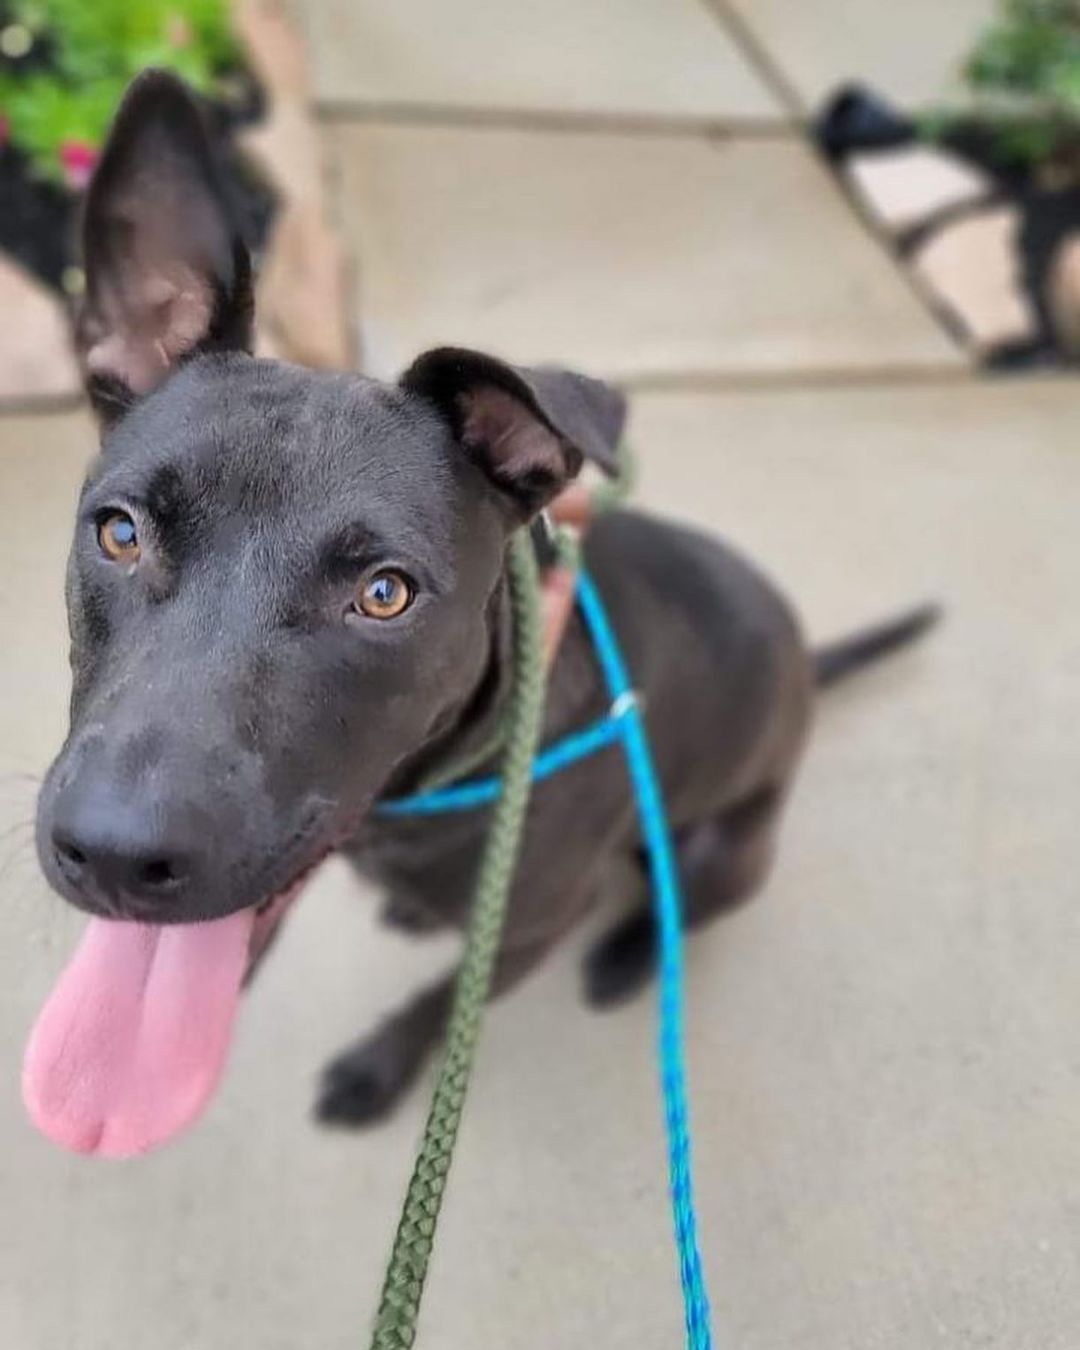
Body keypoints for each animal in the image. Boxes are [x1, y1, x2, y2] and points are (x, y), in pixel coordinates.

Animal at [25, 73, 934, 1150]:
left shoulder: (531, 927)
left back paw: (630, 956)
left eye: (384, 593)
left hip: (730, 854)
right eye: (120, 533)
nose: (116, 855)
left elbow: (435, 1007)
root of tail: (804, 662)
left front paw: (376, 1070)